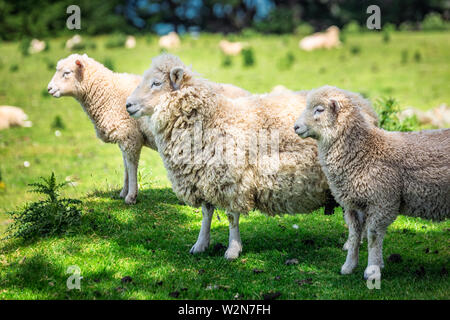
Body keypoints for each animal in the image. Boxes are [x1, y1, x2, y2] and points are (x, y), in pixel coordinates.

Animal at [125, 53, 378, 260]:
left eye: (156, 83)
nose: (128, 105)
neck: (212, 118)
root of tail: (363, 103)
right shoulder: (204, 178)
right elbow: (206, 214)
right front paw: (200, 245)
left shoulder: (232, 180)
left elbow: (231, 217)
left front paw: (233, 250)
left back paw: (353, 244)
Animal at [296, 86, 450, 278]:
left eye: (319, 109)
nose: (296, 127)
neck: (364, 150)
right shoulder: (353, 205)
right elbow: (354, 235)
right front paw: (349, 266)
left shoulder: (382, 202)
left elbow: (373, 236)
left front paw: (373, 269)